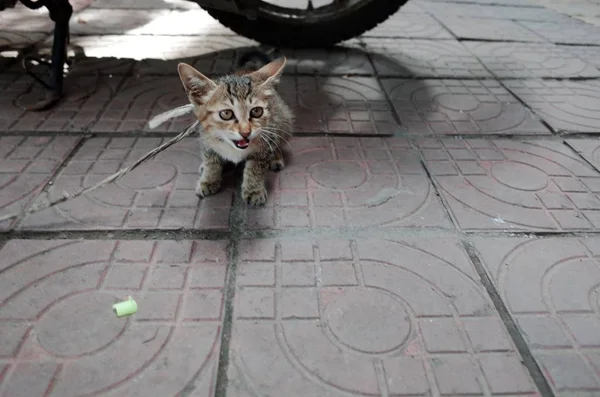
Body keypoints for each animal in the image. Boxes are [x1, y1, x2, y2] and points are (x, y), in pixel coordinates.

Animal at [176, 51, 292, 206]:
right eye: (226, 114)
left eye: (256, 111)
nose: (246, 132)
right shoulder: (205, 136)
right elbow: (210, 159)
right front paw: (209, 178)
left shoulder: (266, 137)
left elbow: (256, 167)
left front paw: (254, 189)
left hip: (283, 118)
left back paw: (276, 157)